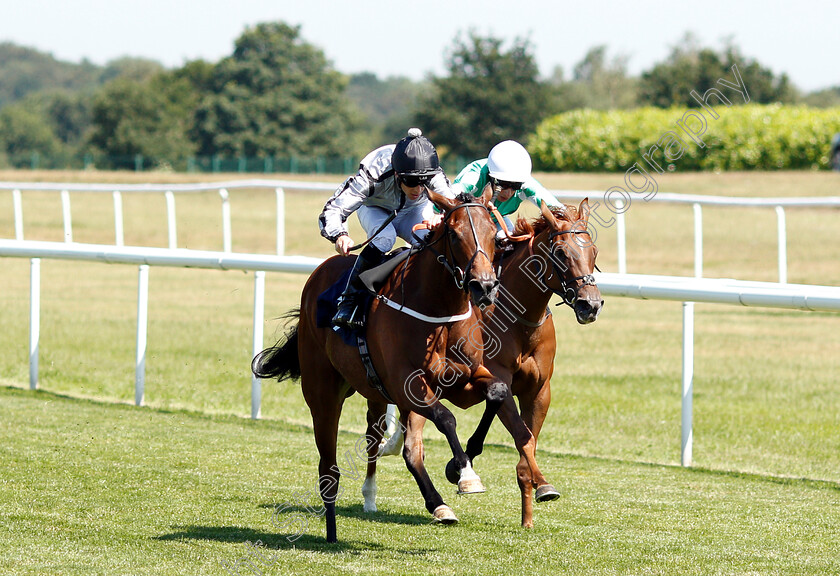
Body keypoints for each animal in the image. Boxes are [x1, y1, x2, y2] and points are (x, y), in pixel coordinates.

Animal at [253, 191, 556, 544]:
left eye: (494, 235)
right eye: (455, 234)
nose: (484, 286)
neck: (437, 311)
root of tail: (319, 272)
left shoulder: (465, 379)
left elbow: (496, 391)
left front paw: (462, 468)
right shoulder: (405, 387)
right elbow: (445, 418)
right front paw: (465, 473)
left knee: (383, 439)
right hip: (323, 394)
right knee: (329, 467)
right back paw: (332, 532)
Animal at [370, 197, 600, 528]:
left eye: (594, 251)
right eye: (560, 252)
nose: (590, 304)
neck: (517, 317)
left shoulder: (539, 389)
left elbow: (527, 436)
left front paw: (535, 496)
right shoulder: (488, 375)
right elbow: (517, 431)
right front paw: (462, 468)